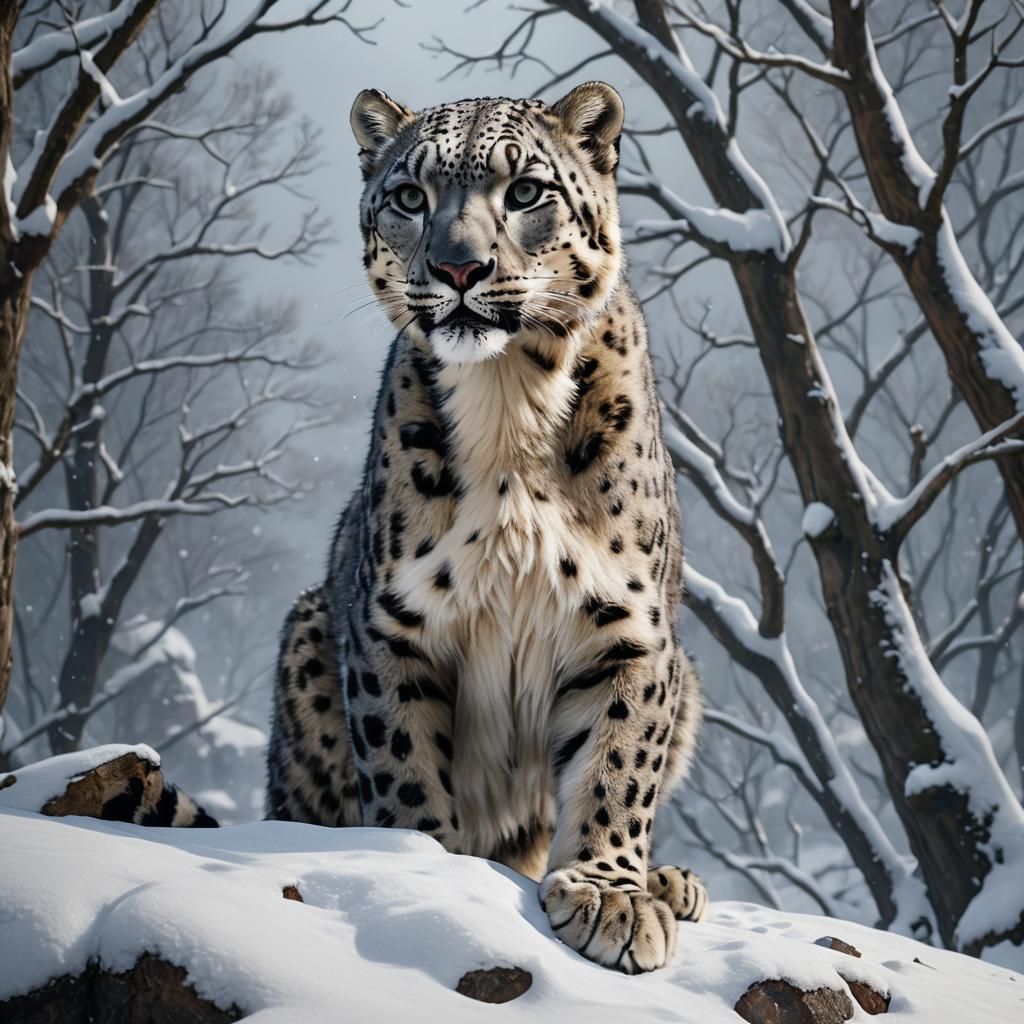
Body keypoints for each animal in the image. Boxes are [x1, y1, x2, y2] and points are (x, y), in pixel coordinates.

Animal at [265, 82, 708, 974]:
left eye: (527, 190)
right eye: (409, 197)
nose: (459, 267)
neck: (508, 403)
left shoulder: (630, 630)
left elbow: (618, 764)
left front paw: (611, 895)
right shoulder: (393, 626)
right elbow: (403, 764)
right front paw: (424, 863)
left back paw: (670, 881)